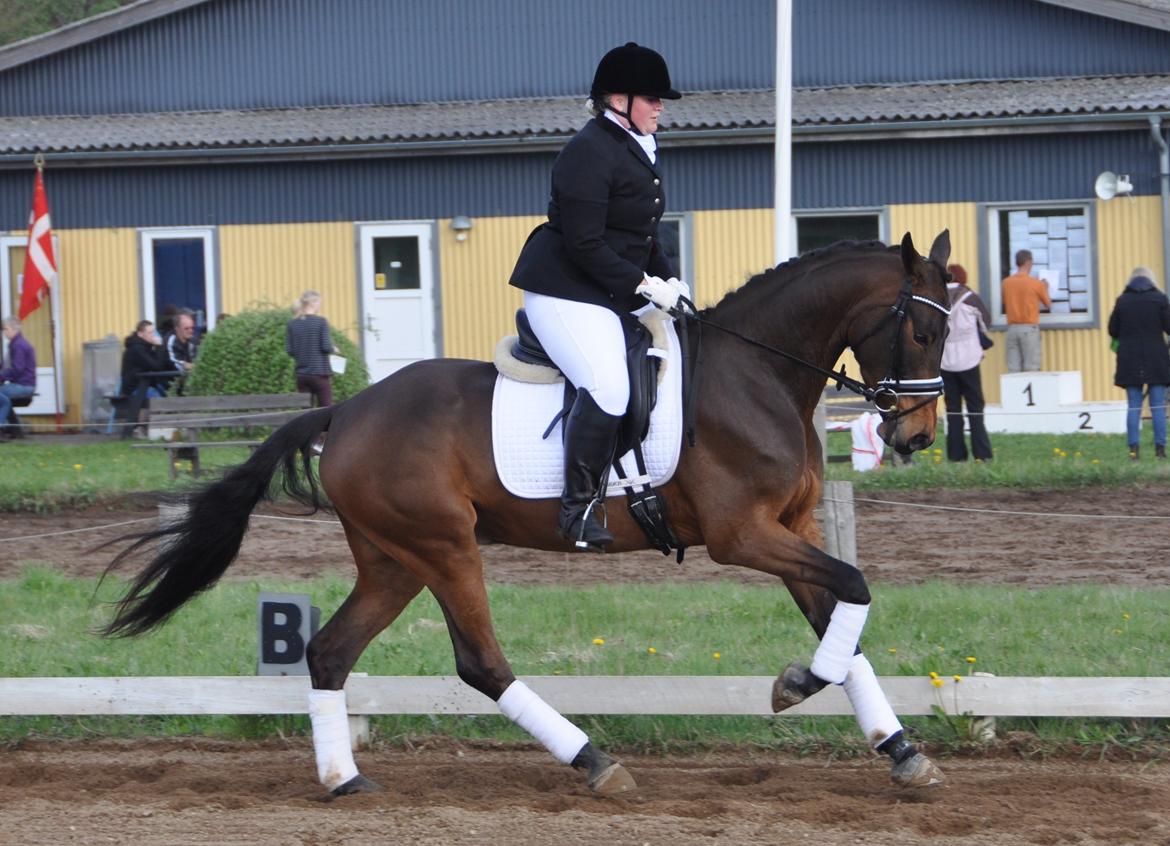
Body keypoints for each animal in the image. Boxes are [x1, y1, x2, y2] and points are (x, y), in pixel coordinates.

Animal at [105, 232, 954, 800]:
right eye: (923, 328)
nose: (916, 435)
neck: (760, 372)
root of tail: (345, 411)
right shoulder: (741, 535)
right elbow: (855, 592)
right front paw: (795, 686)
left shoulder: (794, 529)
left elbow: (844, 618)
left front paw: (899, 748)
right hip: (444, 546)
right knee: (481, 663)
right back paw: (595, 763)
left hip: (394, 560)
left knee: (330, 652)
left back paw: (343, 778)